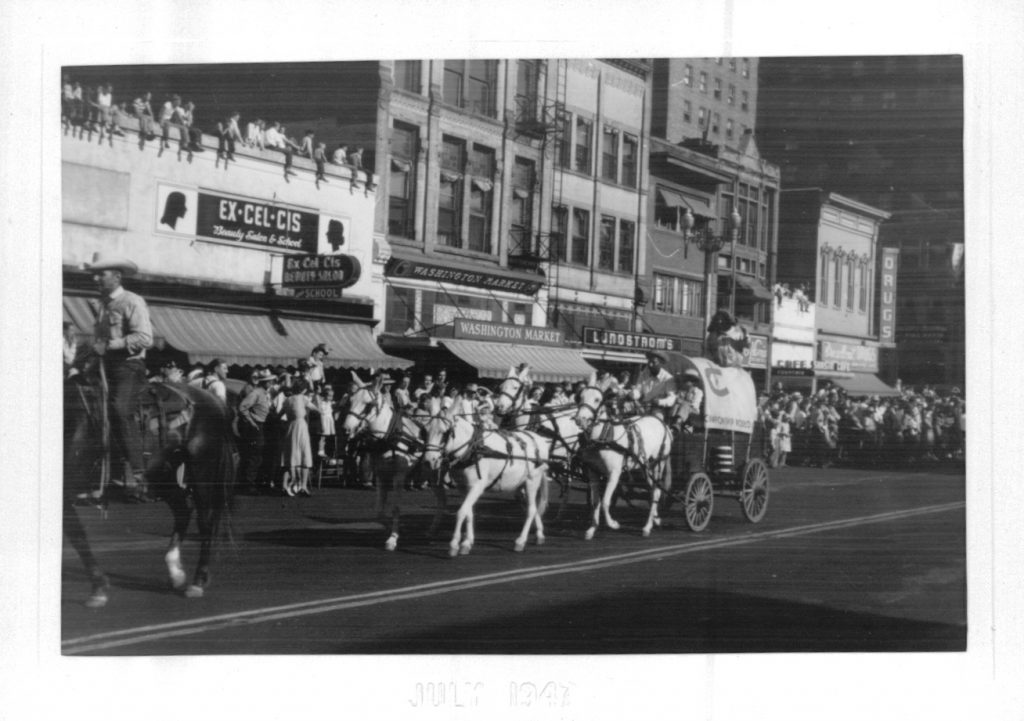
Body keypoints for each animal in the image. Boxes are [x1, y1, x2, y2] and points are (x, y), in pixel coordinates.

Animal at [64, 366, 237, 606]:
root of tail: (214, 400)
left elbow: (77, 536)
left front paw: (98, 588)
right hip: (164, 476)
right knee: (184, 511)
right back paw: (175, 573)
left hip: (202, 472)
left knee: (205, 521)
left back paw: (197, 581)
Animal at [344, 374, 444, 548]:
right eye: (350, 400)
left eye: (368, 405)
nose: (346, 429)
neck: (388, 435)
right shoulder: (381, 475)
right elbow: (379, 511)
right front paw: (393, 530)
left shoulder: (399, 476)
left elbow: (396, 507)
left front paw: (393, 538)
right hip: (431, 474)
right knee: (442, 501)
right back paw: (433, 530)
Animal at [421, 393, 552, 557]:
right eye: (425, 430)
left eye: (444, 432)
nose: (428, 461)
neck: (472, 449)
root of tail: (539, 439)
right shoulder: (464, 488)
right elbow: (469, 512)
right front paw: (467, 542)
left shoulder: (477, 486)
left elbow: (461, 512)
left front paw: (454, 545)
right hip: (520, 486)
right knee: (531, 507)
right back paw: (539, 534)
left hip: (532, 481)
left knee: (531, 510)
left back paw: (520, 541)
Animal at [573, 374, 675, 536]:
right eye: (580, 397)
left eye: (597, 399)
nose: (580, 419)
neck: (603, 437)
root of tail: (663, 424)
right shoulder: (593, 473)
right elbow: (596, 502)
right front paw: (592, 529)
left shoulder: (614, 473)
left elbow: (605, 501)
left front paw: (613, 524)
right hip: (646, 467)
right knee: (653, 491)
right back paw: (656, 519)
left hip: (658, 463)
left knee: (656, 492)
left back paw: (647, 526)